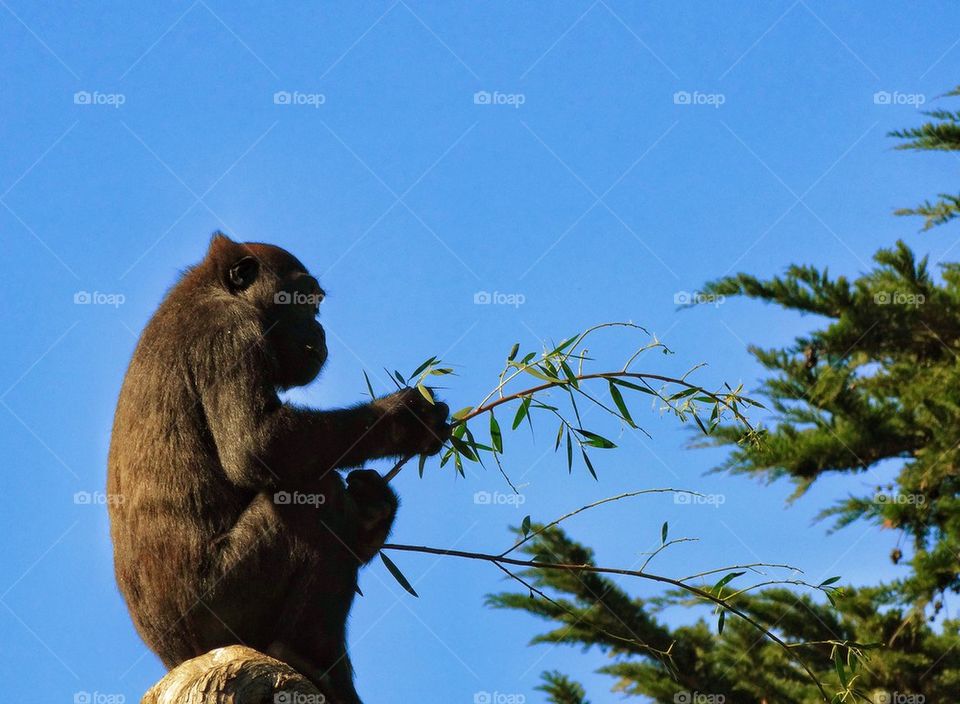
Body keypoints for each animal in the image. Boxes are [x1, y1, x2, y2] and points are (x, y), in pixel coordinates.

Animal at [107, 233, 449, 703]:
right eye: (304, 300)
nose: (320, 329)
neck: (212, 287)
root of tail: (176, 657)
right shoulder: (230, 333)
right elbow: (260, 446)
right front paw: (402, 421)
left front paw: (373, 507)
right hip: (219, 615)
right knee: (311, 500)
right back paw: (307, 656)